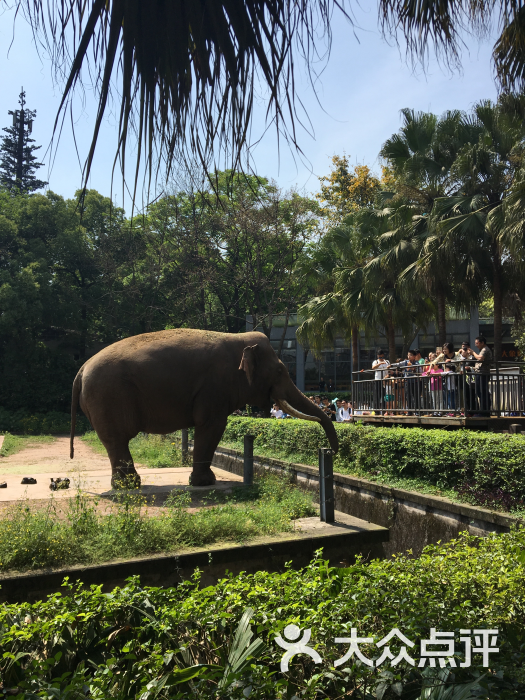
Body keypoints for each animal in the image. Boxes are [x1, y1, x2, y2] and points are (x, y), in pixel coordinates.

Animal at [69, 330, 338, 486]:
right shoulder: (215, 386)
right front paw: (205, 483)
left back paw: (127, 485)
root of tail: (80, 370)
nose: (330, 452)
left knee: (115, 442)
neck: (237, 339)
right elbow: (213, 426)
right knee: (117, 440)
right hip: (107, 396)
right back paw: (129, 486)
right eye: (280, 371)